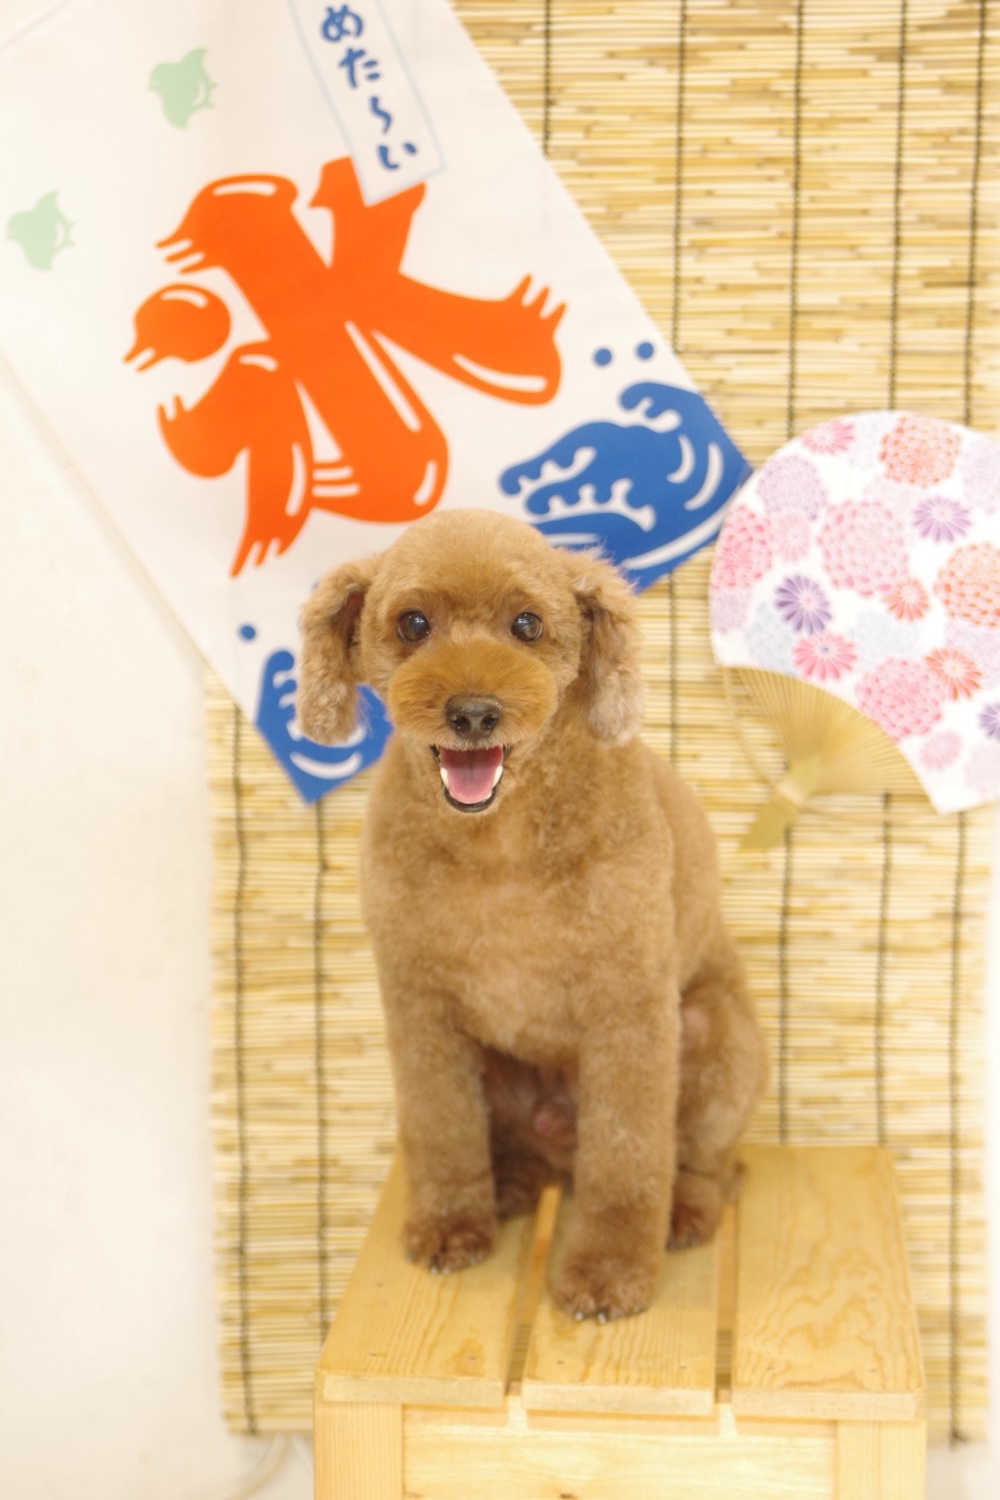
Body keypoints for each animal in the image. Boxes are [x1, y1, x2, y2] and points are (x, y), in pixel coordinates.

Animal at [298, 508, 767, 1321]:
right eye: (413, 623)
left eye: (527, 624)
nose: (473, 713)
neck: (502, 841)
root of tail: (556, 1159)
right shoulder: (419, 1004)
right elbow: (441, 1128)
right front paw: (451, 1225)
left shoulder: (628, 1007)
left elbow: (626, 1156)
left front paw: (609, 1273)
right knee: (506, 1146)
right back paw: (510, 1185)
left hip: (720, 1043)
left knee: (709, 1164)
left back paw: (683, 1212)